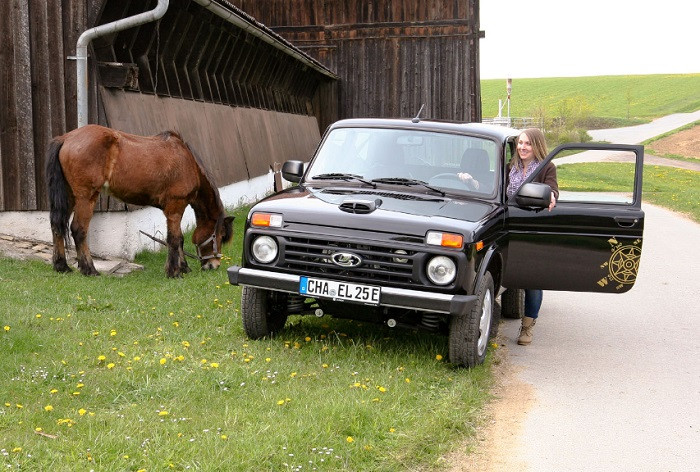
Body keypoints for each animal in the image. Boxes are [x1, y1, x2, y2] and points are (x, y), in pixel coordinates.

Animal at [47, 125, 237, 278]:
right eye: (220, 236)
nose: (214, 265)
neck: (187, 163)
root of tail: (65, 138)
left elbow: (179, 239)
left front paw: (183, 267)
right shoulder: (175, 207)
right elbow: (175, 239)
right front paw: (174, 272)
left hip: (70, 196)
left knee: (57, 225)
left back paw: (62, 266)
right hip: (86, 197)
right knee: (78, 229)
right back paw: (89, 269)